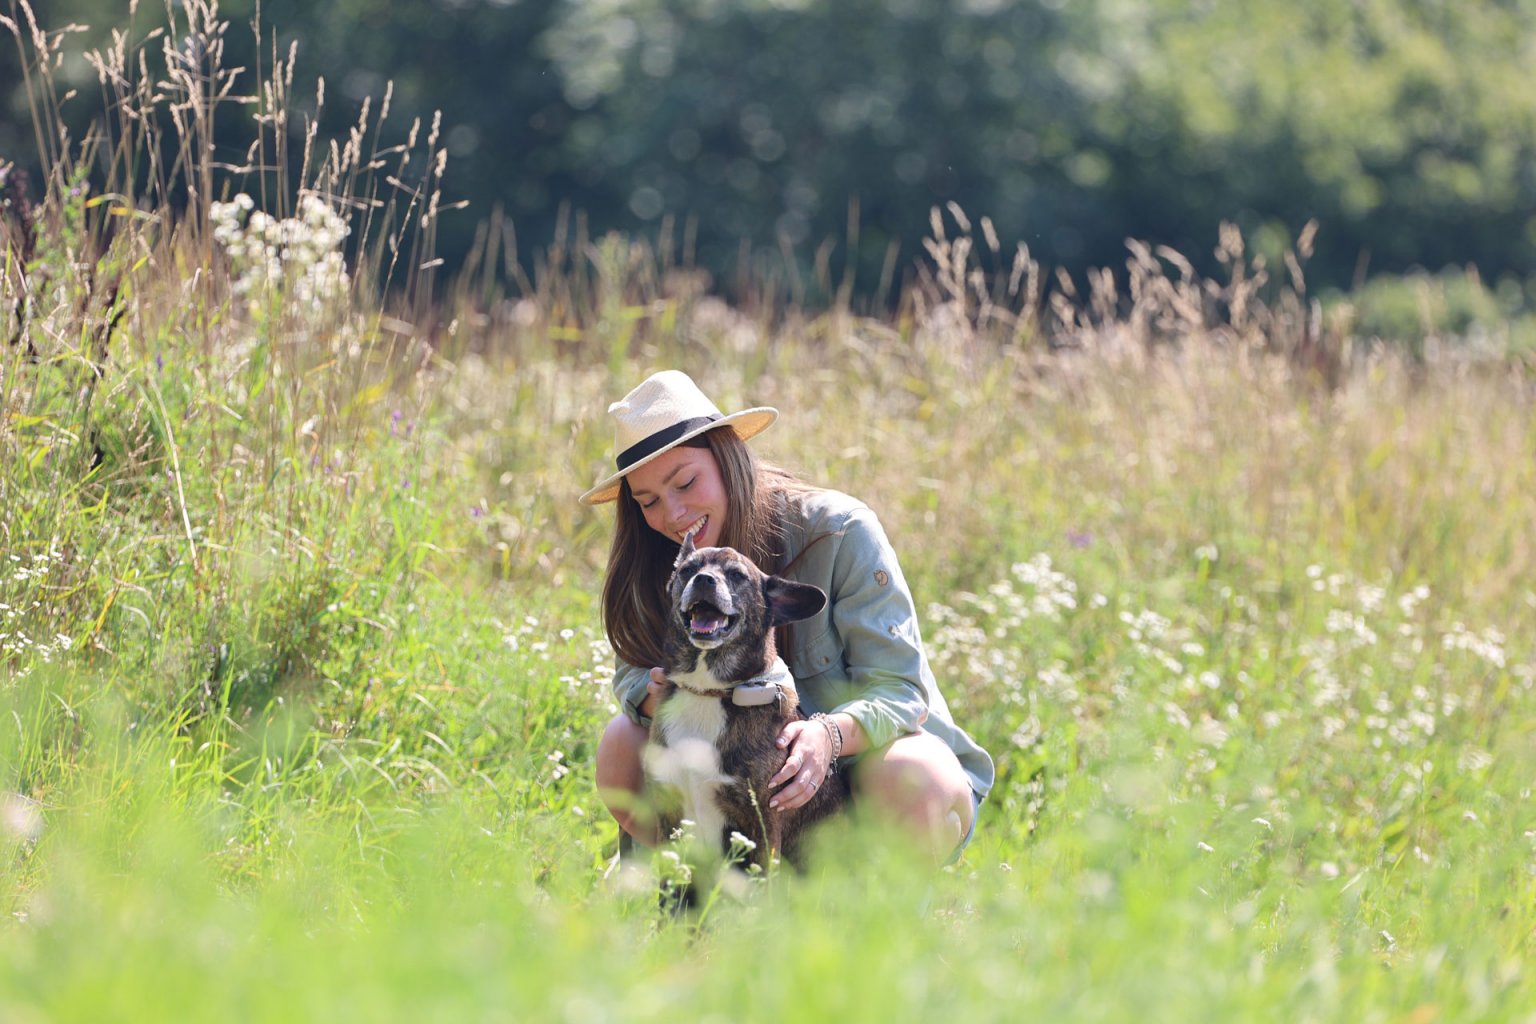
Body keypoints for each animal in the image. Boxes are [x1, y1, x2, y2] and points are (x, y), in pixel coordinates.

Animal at [638, 528, 847, 872]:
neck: (707, 691)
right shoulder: (668, 817)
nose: (703, 580)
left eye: (737, 575)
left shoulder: (763, 825)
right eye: (687, 570)